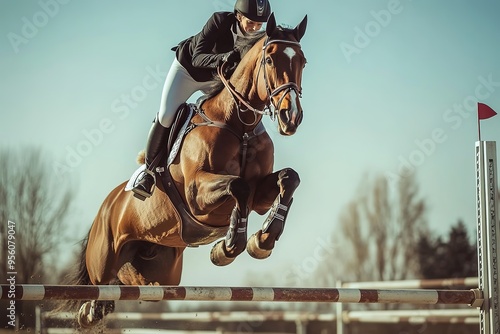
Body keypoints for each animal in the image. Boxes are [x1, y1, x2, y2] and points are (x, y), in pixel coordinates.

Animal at [64, 13, 306, 328]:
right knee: (96, 294)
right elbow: (238, 185)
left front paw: (261, 241)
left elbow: (289, 179)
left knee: (122, 291)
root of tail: (106, 206)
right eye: (269, 60)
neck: (239, 125)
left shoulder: (259, 197)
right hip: (104, 259)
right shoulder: (196, 195)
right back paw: (88, 312)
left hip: (159, 274)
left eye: (302, 61)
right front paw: (228, 247)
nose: (292, 117)